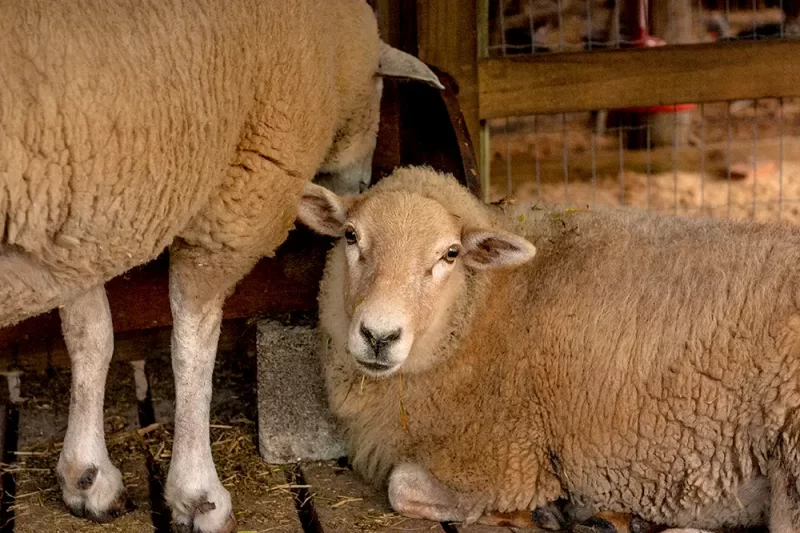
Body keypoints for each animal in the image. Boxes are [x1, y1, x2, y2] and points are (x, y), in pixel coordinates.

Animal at [0, 4, 444, 532]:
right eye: (377, 91)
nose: (359, 189)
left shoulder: (80, 214)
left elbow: (91, 339)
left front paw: (87, 477)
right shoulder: (233, 205)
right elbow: (192, 352)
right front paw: (198, 495)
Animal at [298, 166, 800, 532]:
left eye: (450, 254)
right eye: (350, 236)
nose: (378, 336)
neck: (482, 311)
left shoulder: (505, 460)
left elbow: (401, 486)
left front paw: (538, 510)